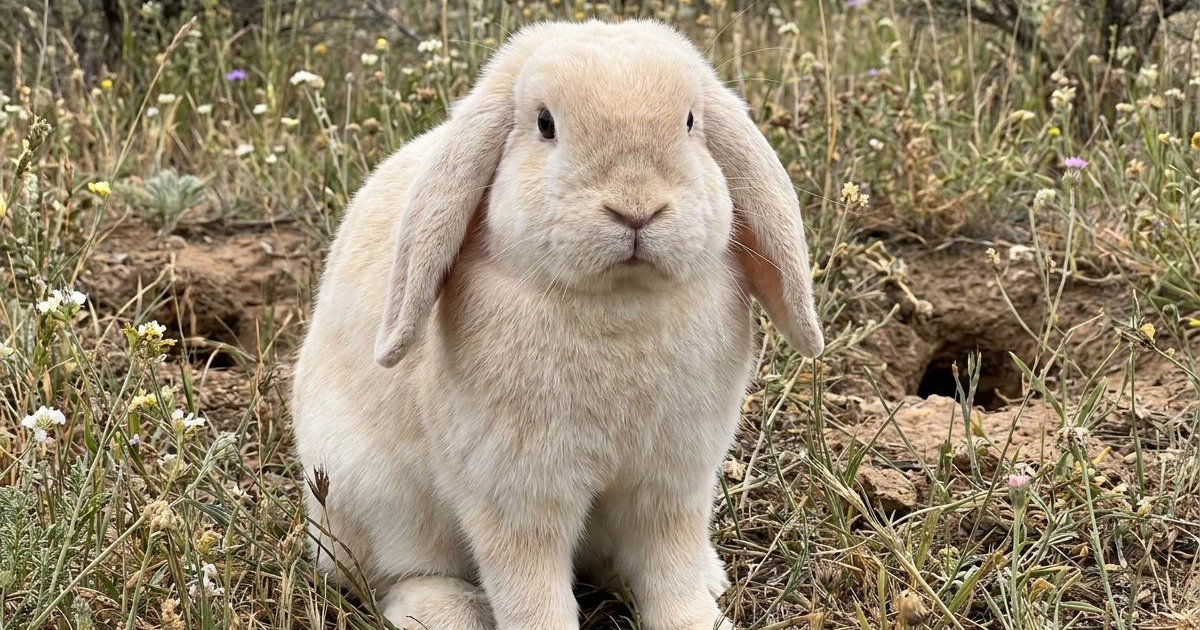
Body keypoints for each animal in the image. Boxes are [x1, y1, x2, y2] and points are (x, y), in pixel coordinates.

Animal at [292, 18, 823, 630]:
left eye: (691, 122)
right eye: (545, 124)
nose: (635, 208)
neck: (620, 303)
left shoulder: (673, 483)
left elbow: (671, 568)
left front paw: (696, 620)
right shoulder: (517, 495)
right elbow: (531, 585)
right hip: (375, 503)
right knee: (394, 577)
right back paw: (449, 611)